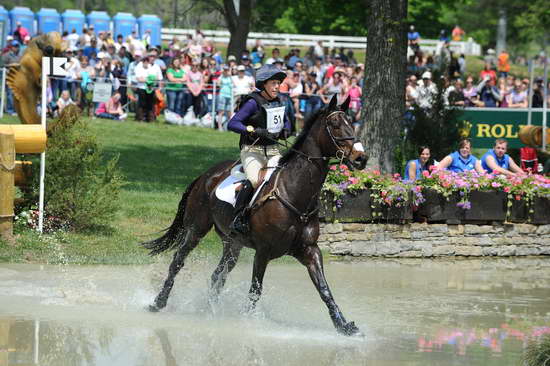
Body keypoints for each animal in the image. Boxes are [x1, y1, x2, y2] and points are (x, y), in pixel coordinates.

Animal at [142, 95, 368, 338]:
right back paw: (158, 303)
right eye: (335, 125)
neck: (294, 192)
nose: (361, 158)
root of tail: (205, 175)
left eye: (351, 123)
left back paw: (211, 310)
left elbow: (324, 289)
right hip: (196, 229)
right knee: (178, 261)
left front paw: (344, 326)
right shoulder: (263, 251)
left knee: (218, 275)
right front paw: (248, 323)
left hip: (232, 244)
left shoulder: (309, 250)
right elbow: (255, 290)